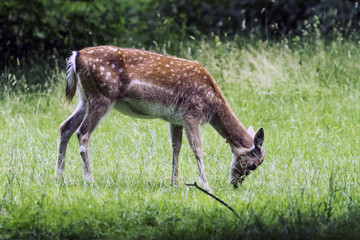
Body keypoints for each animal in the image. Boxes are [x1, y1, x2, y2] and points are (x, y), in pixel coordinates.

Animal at [56, 45, 264, 191]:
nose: (235, 184)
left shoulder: (176, 119)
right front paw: (206, 185)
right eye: (253, 165)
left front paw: (175, 183)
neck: (212, 106)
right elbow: (197, 149)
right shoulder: (192, 113)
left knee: (65, 127)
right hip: (102, 96)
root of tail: (76, 56)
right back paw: (89, 179)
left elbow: (176, 147)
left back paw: (59, 178)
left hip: (84, 99)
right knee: (82, 132)